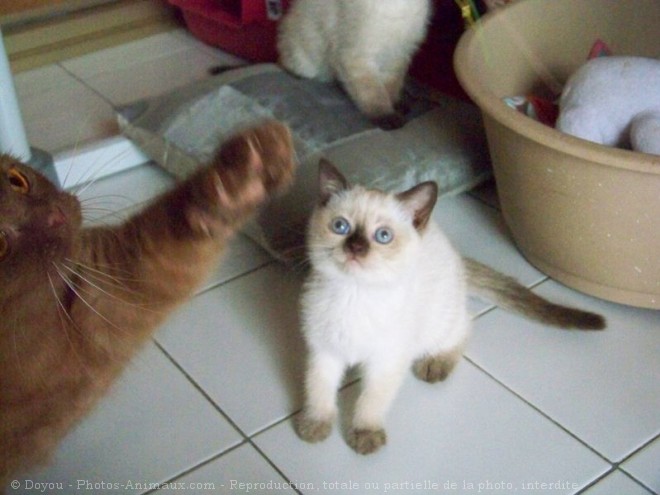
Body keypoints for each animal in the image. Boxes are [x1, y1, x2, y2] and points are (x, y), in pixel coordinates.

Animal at [296, 161, 604, 456]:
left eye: (383, 236)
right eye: (341, 227)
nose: (355, 248)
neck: (354, 294)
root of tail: (454, 253)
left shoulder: (387, 361)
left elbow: (372, 400)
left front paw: (365, 434)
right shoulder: (323, 351)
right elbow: (318, 389)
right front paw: (315, 425)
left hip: (440, 320)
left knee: (464, 326)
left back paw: (436, 364)